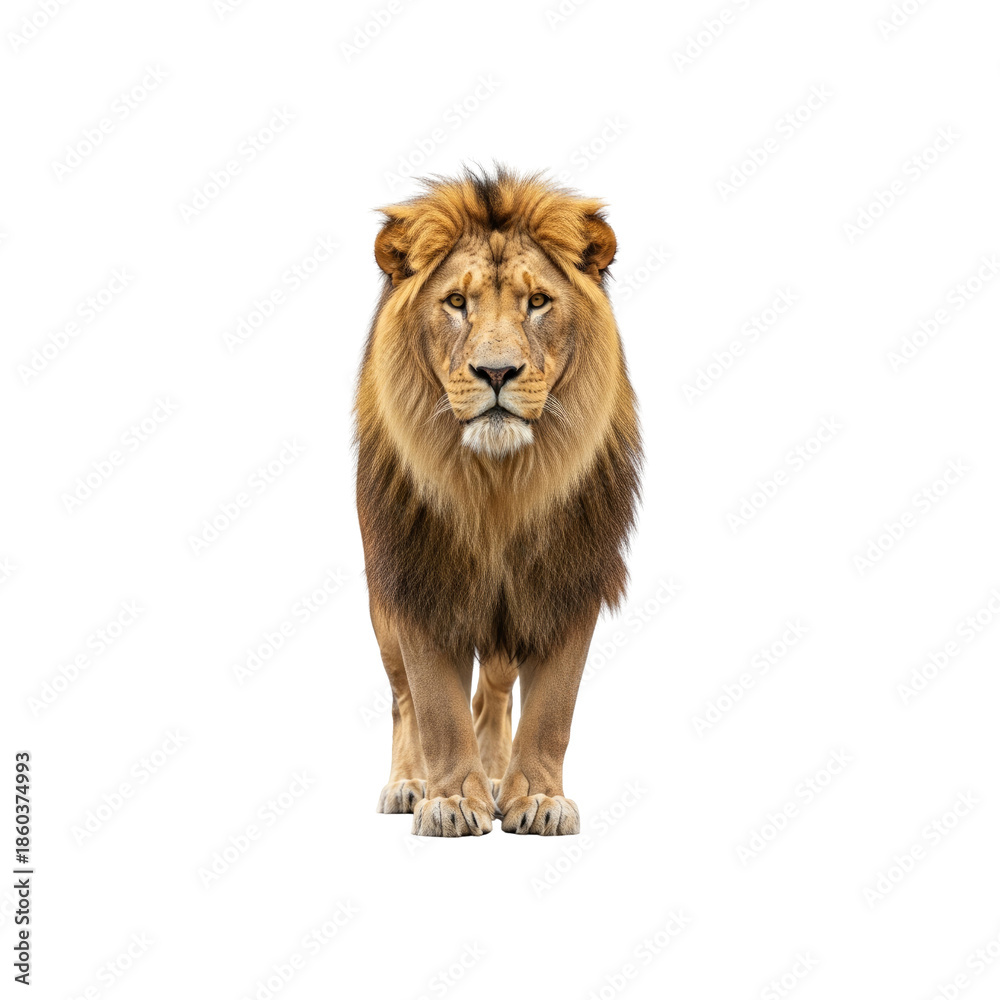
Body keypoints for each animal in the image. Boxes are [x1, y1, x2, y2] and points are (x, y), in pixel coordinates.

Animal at [355, 167, 641, 837]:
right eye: (457, 303)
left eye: (537, 302)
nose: (496, 372)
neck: (499, 484)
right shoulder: (419, 577)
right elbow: (435, 705)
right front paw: (451, 801)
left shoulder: (568, 581)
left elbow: (552, 709)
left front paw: (534, 797)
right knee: (403, 698)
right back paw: (410, 783)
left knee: (495, 690)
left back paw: (493, 774)